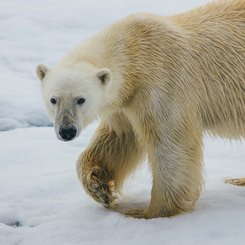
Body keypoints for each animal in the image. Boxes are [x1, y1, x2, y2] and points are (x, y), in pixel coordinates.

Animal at [35, 0, 245, 218]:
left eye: (81, 99)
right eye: (53, 99)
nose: (67, 131)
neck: (135, 52)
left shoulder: (163, 83)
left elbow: (171, 144)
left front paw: (146, 212)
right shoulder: (124, 103)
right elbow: (120, 138)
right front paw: (100, 187)